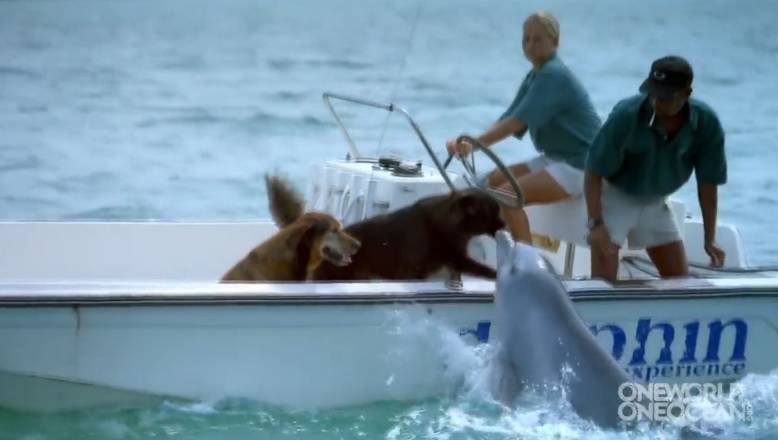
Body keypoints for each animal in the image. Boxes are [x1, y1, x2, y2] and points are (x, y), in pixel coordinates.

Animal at [269, 180, 505, 281]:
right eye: (492, 213)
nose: (505, 225)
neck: (447, 226)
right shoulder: (416, 268)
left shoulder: (456, 257)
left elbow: (476, 267)